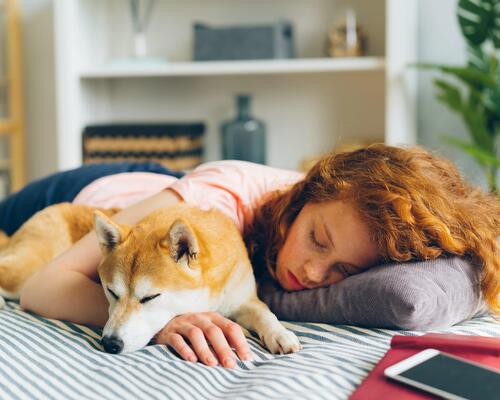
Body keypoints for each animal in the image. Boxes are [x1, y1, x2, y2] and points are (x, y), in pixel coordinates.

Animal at [0, 203, 300, 356]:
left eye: (150, 297)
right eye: (111, 292)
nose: (110, 344)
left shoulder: (244, 300)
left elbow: (265, 313)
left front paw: (280, 334)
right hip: (28, 269)